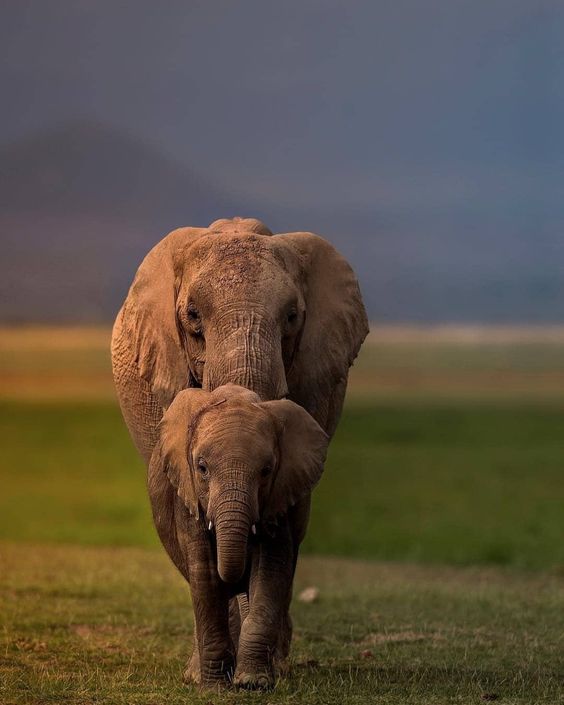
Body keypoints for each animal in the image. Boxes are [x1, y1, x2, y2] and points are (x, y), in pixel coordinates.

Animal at [148, 383, 329, 688]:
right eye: (202, 467)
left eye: (266, 471)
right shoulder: (187, 496)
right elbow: (205, 574)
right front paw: (214, 687)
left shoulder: (280, 495)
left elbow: (270, 570)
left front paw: (253, 683)